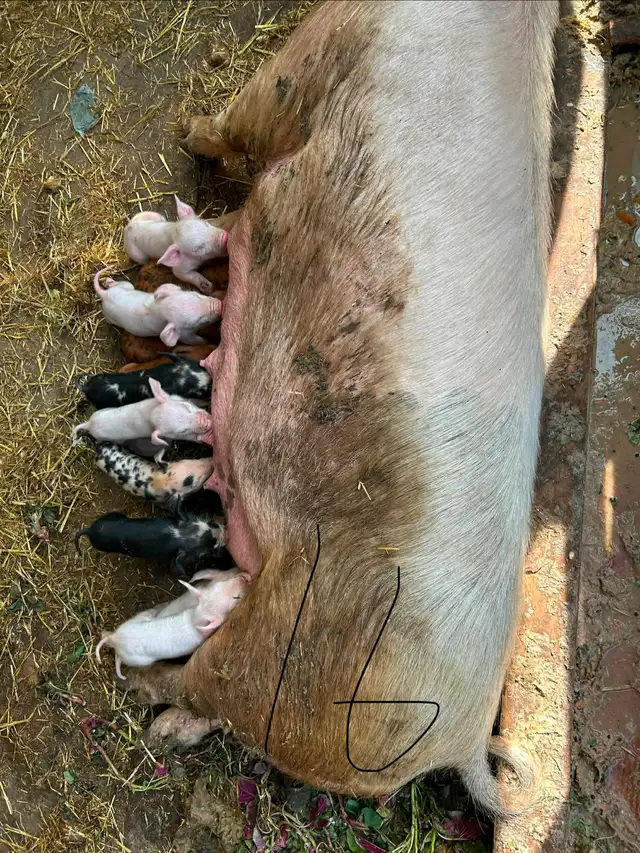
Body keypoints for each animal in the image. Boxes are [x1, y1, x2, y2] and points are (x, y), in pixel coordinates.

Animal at [96, 568, 249, 679]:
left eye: (223, 583)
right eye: (235, 599)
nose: (244, 577)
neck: (195, 617)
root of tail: (117, 639)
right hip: (137, 660)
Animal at [122, 0, 559, 818]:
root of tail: (461, 742)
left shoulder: (315, 57)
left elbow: (245, 115)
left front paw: (187, 130)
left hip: (291, 658)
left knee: (204, 686)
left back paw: (149, 706)